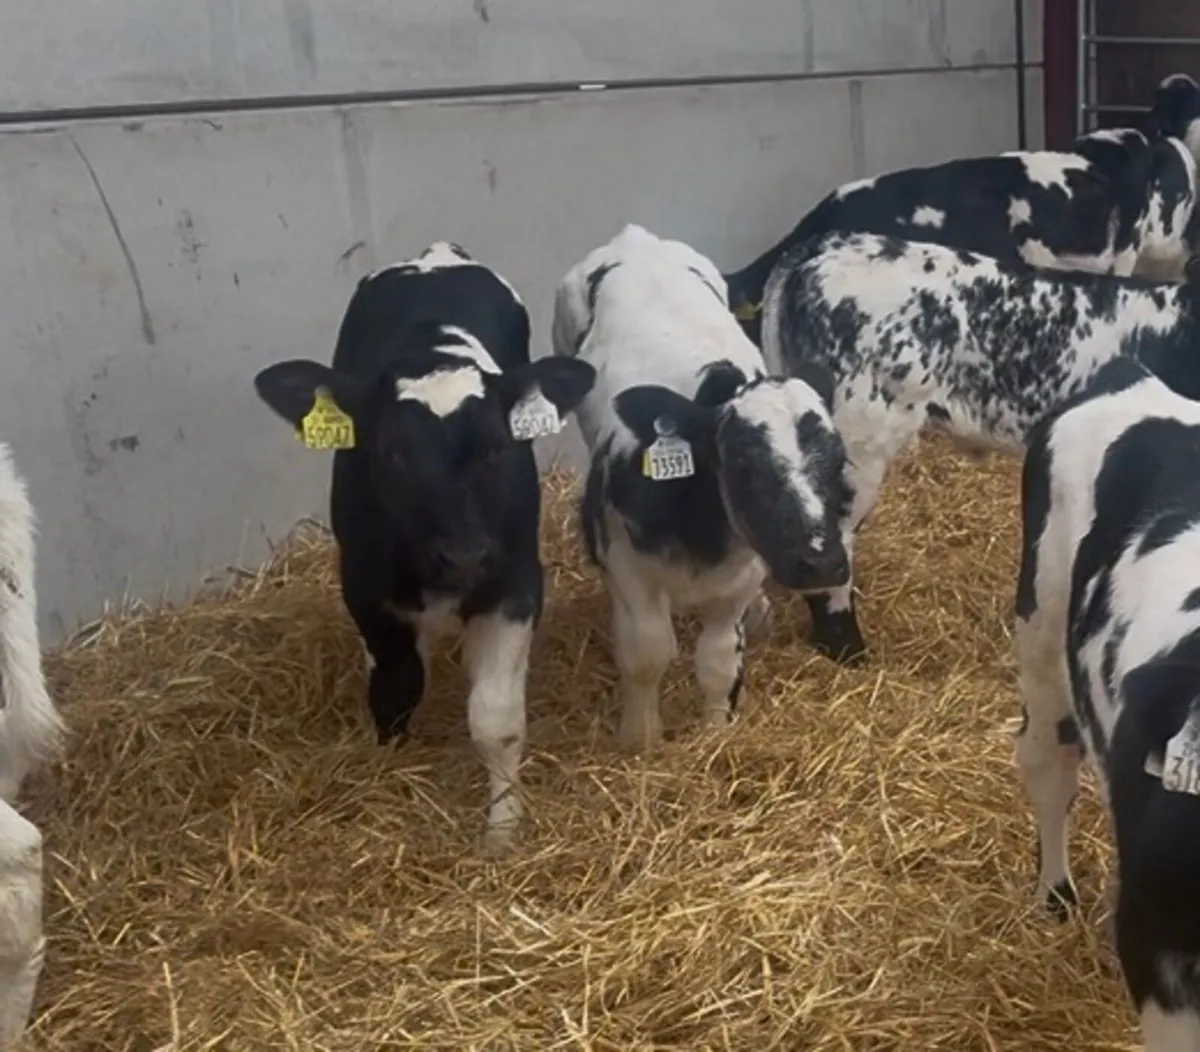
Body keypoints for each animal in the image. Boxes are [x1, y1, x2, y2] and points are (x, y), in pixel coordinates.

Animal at [253, 242, 596, 852]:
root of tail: (437, 254)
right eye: (392, 452)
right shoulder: (364, 590)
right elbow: (395, 689)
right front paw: (389, 776)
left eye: (497, 447)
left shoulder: (515, 583)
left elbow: (496, 719)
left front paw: (502, 834)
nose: (463, 555)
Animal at [551, 223, 849, 752]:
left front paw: (715, 731)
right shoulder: (626, 564)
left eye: (838, 461)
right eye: (743, 466)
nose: (821, 563)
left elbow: (717, 658)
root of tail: (636, 238)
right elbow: (647, 652)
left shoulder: (742, 575)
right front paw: (641, 740)